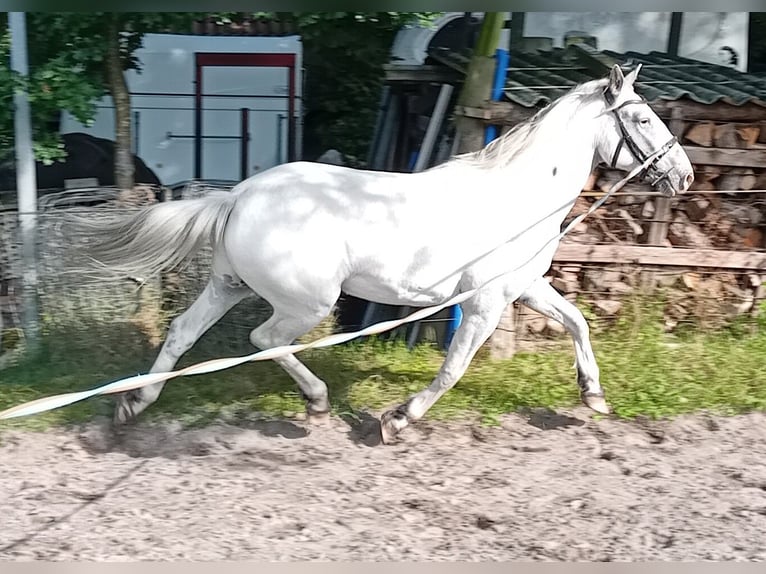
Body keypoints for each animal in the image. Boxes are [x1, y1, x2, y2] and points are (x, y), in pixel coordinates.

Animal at [84, 66, 696, 446]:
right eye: (643, 118)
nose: (684, 175)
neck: (520, 195)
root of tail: (241, 195)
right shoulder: (486, 304)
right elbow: (453, 368)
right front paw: (397, 420)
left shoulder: (520, 288)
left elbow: (577, 322)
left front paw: (594, 396)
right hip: (306, 302)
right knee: (266, 340)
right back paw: (316, 402)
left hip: (229, 285)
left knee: (183, 331)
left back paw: (133, 405)